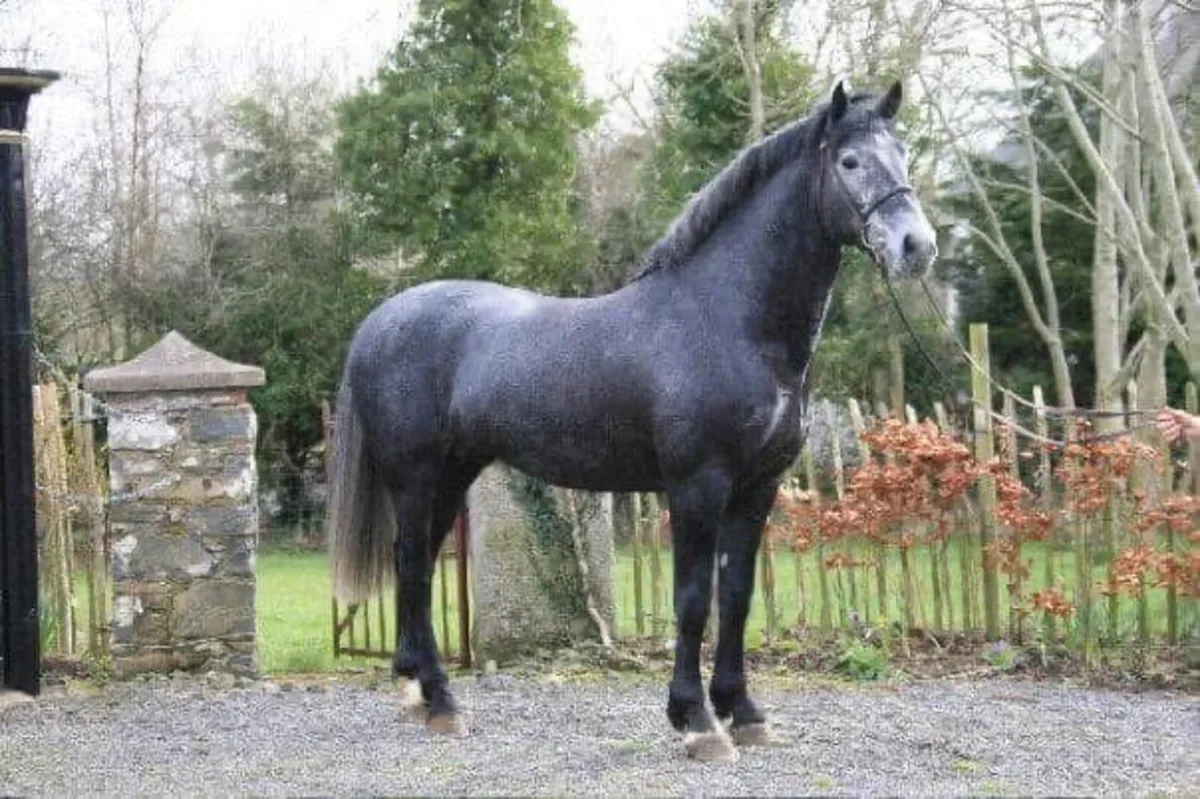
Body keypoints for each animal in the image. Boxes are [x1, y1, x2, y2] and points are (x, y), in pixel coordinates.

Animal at [326, 79, 938, 762]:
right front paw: (696, 721)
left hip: (453, 475)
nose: (916, 247)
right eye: (850, 161)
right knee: (410, 566)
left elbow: (736, 594)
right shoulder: (698, 485)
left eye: (903, 154)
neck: (728, 321)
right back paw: (441, 701)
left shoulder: (759, 487)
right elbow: (693, 599)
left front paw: (743, 711)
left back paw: (416, 691)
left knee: (419, 566)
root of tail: (380, 321)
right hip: (415, 476)